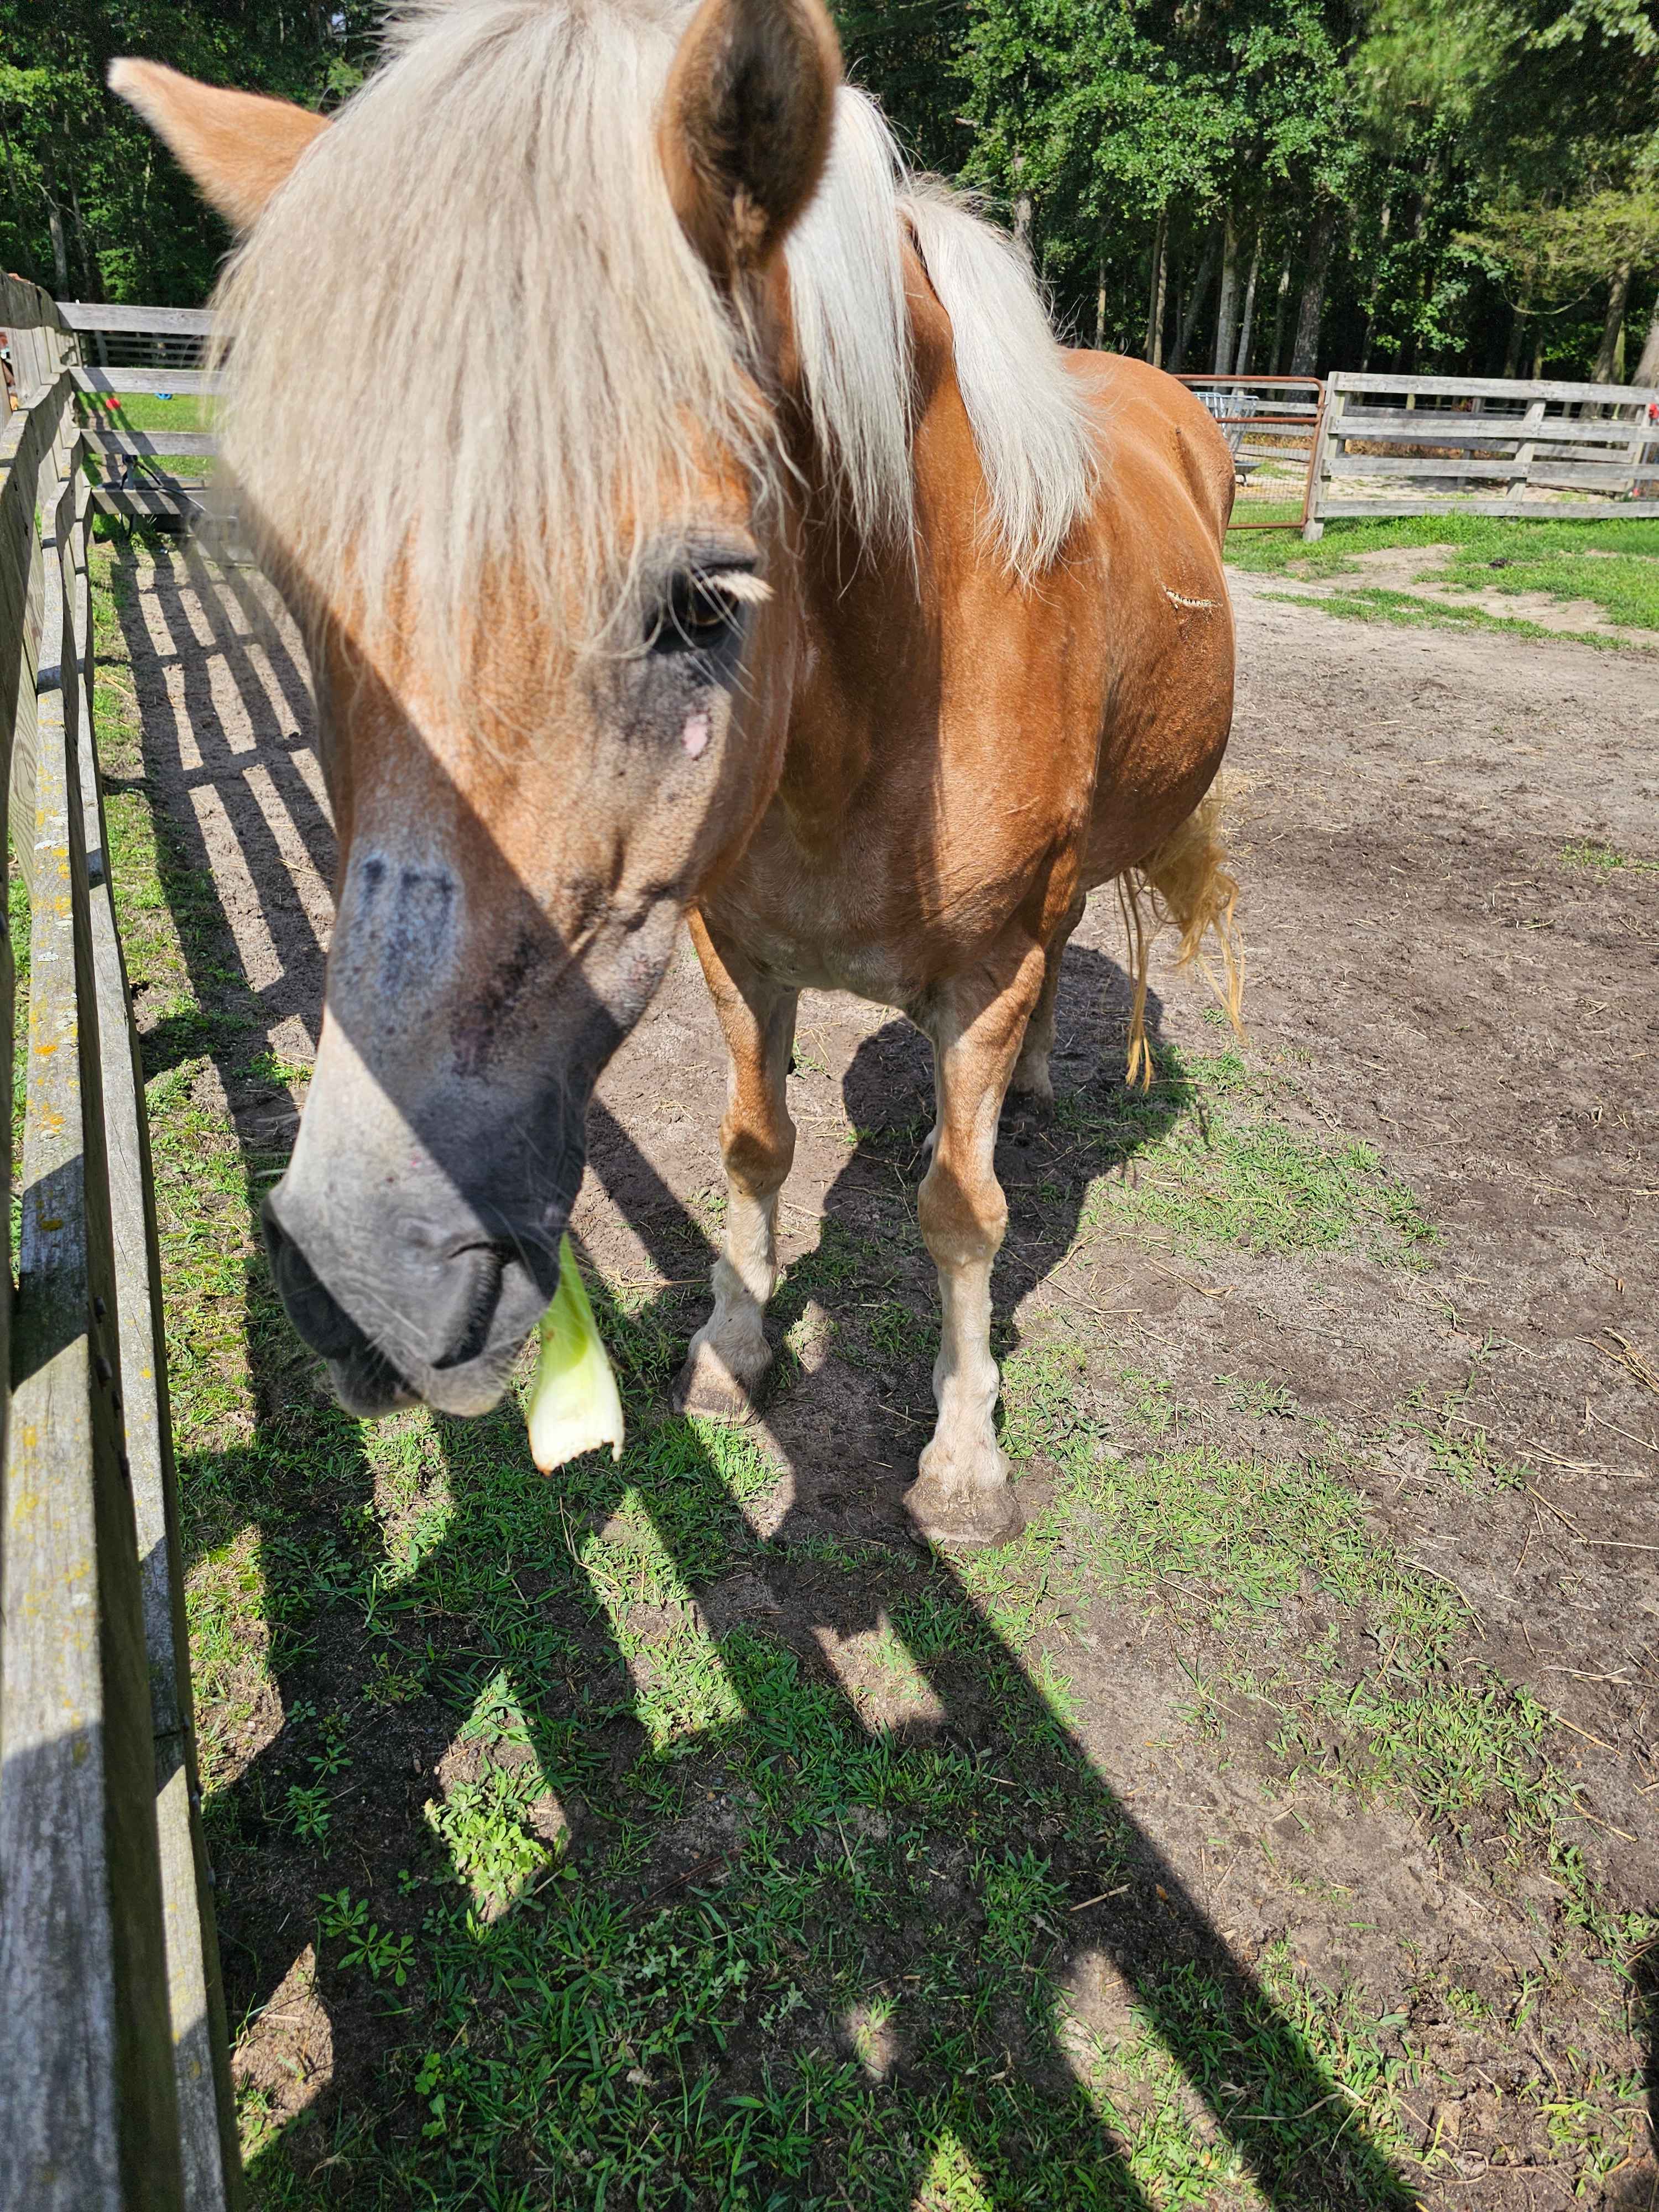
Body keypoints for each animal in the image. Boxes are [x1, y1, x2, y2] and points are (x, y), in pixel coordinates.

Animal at [113, 0, 1242, 1547]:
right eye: (301, 588)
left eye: (702, 601)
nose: (366, 1275)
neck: (879, 720)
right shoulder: (733, 949)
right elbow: (754, 1147)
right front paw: (731, 1350)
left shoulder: (984, 970)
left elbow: (961, 1214)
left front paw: (964, 1461)